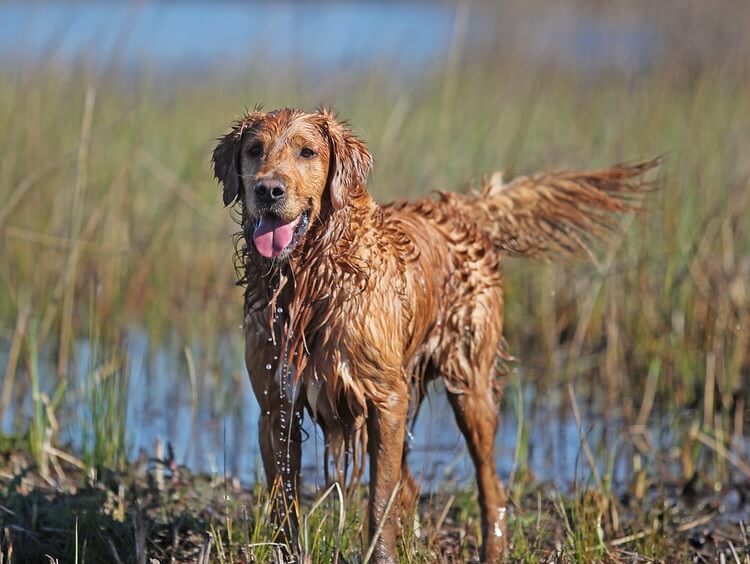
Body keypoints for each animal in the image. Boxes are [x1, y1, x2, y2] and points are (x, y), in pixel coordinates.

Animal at [212, 108, 656, 560]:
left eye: (307, 152)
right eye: (254, 150)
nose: (268, 189)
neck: (311, 279)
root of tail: (460, 210)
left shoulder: (386, 399)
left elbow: (379, 503)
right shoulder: (276, 406)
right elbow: (285, 505)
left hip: (470, 387)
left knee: (489, 487)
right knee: (410, 485)